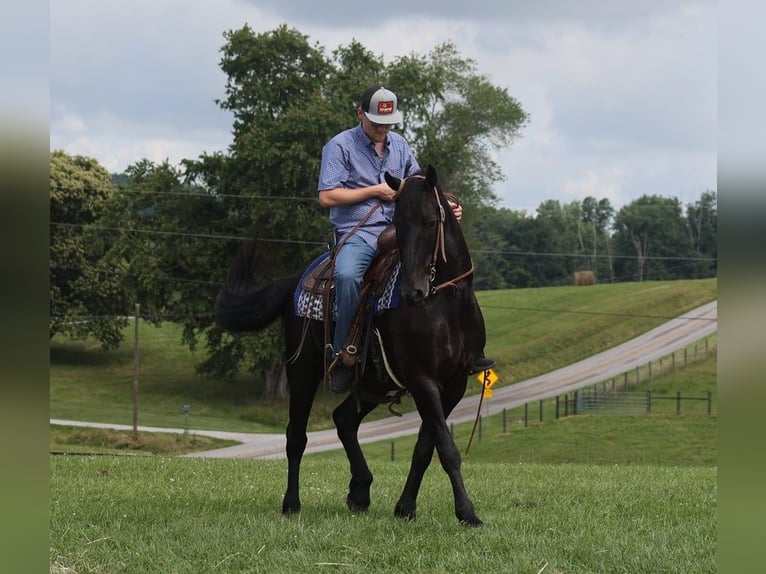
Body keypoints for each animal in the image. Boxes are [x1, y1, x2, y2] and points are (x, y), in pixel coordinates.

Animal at [214, 165, 486, 528]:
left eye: (431, 222)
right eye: (398, 223)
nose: (412, 291)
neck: (445, 304)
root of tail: (295, 280)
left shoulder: (453, 384)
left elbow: (425, 448)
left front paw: (406, 508)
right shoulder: (423, 380)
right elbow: (447, 448)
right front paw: (467, 512)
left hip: (371, 384)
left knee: (343, 419)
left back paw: (360, 490)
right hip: (302, 370)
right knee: (296, 436)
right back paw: (292, 504)